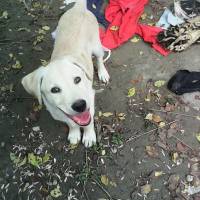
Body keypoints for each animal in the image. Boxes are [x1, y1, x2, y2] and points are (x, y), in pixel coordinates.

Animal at [21, 0, 110, 147]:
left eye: (78, 79)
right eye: (55, 90)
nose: (80, 105)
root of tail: (79, 8)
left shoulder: (90, 100)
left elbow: (88, 122)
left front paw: (89, 136)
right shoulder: (60, 112)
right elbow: (72, 123)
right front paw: (74, 134)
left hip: (96, 45)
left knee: (99, 58)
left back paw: (103, 72)